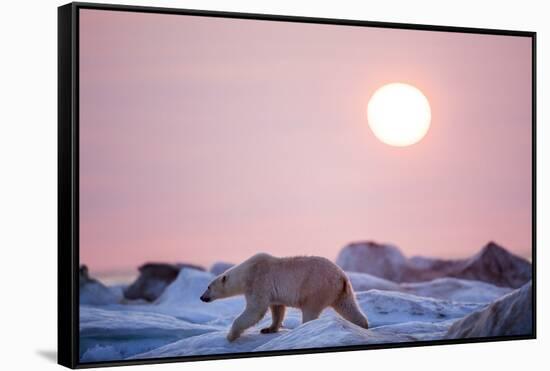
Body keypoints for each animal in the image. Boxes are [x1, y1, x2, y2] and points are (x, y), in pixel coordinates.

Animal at [199, 253, 370, 342]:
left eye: (208, 286)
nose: (201, 297)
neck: (246, 273)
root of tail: (341, 276)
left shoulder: (259, 281)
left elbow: (255, 310)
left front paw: (230, 335)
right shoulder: (272, 292)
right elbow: (277, 309)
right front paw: (268, 329)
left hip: (316, 288)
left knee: (310, 310)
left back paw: (305, 328)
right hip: (342, 291)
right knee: (348, 307)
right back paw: (363, 326)